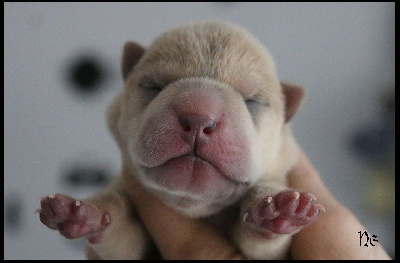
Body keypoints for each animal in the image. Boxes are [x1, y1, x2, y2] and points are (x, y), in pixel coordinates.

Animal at [38, 20, 324, 260]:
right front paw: (83, 213)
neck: (190, 205)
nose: (198, 118)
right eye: (154, 86)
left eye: (251, 101)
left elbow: (264, 237)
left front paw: (279, 211)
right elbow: (120, 227)